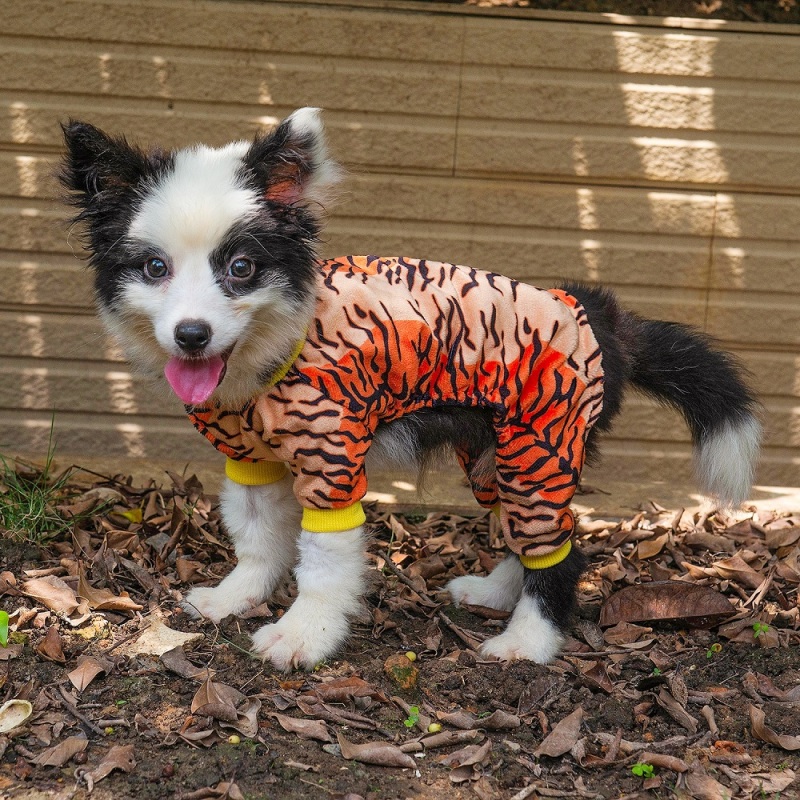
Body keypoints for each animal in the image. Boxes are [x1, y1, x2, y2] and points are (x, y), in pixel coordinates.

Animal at [59, 106, 760, 668]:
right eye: (155, 268)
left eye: (241, 267)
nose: (192, 335)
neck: (279, 348)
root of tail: (597, 314)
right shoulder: (250, 458)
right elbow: (257, 538)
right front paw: (238, 597)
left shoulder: (333, 460)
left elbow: (323, 562)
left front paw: (303, 636)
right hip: (494, 454)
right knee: (529, 535)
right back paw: (496, 591)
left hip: (541, 443)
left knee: (559, 554)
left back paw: (527, 642)